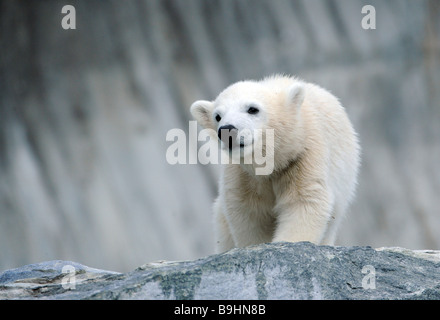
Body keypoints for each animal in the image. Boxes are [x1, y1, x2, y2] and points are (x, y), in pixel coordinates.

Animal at [191, 75, 360, 252]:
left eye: (252, 109)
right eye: (217, 116)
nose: (226, 130)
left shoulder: (304, 157)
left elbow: (304, 201)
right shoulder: (243, 174)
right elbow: (247, 210)